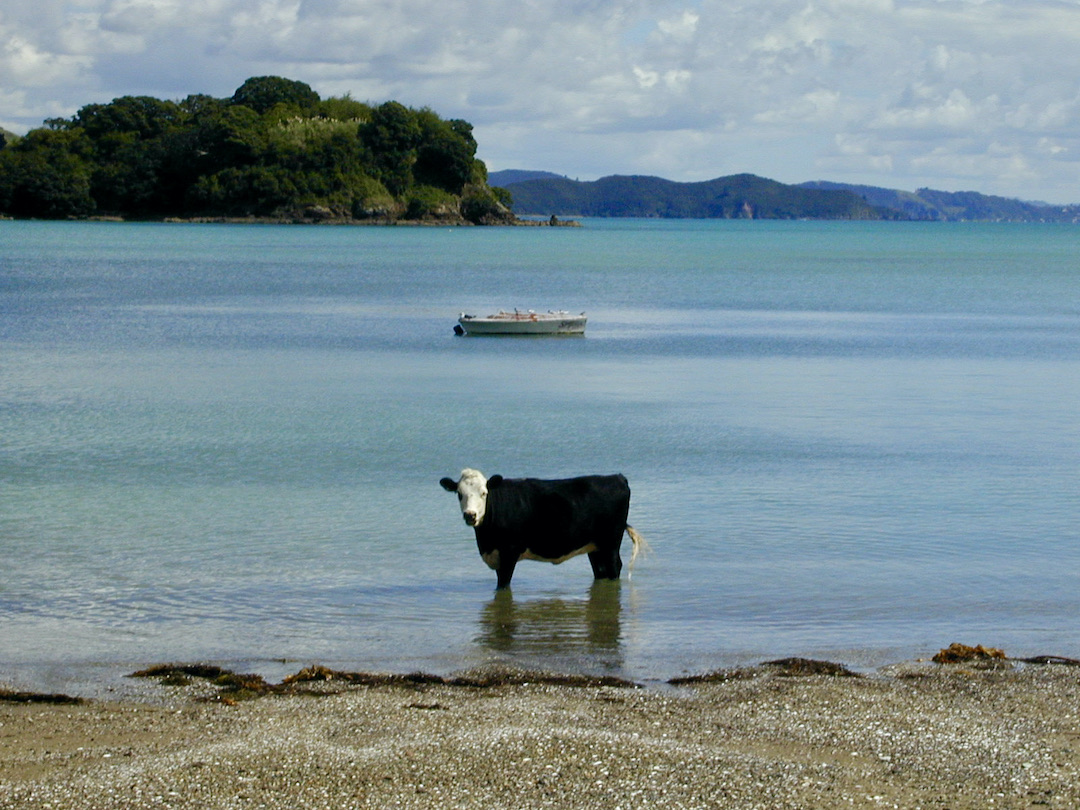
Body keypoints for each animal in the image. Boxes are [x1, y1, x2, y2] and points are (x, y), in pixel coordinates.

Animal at [440, 468, 645, 589]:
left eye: (484, 493)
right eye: (459, 494)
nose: (470, 515)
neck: (486, 542)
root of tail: (618, 478)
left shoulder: (509, 553)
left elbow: (503, 585)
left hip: (611, 542)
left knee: (614, 567)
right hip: (594, 547)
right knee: (600, 570)